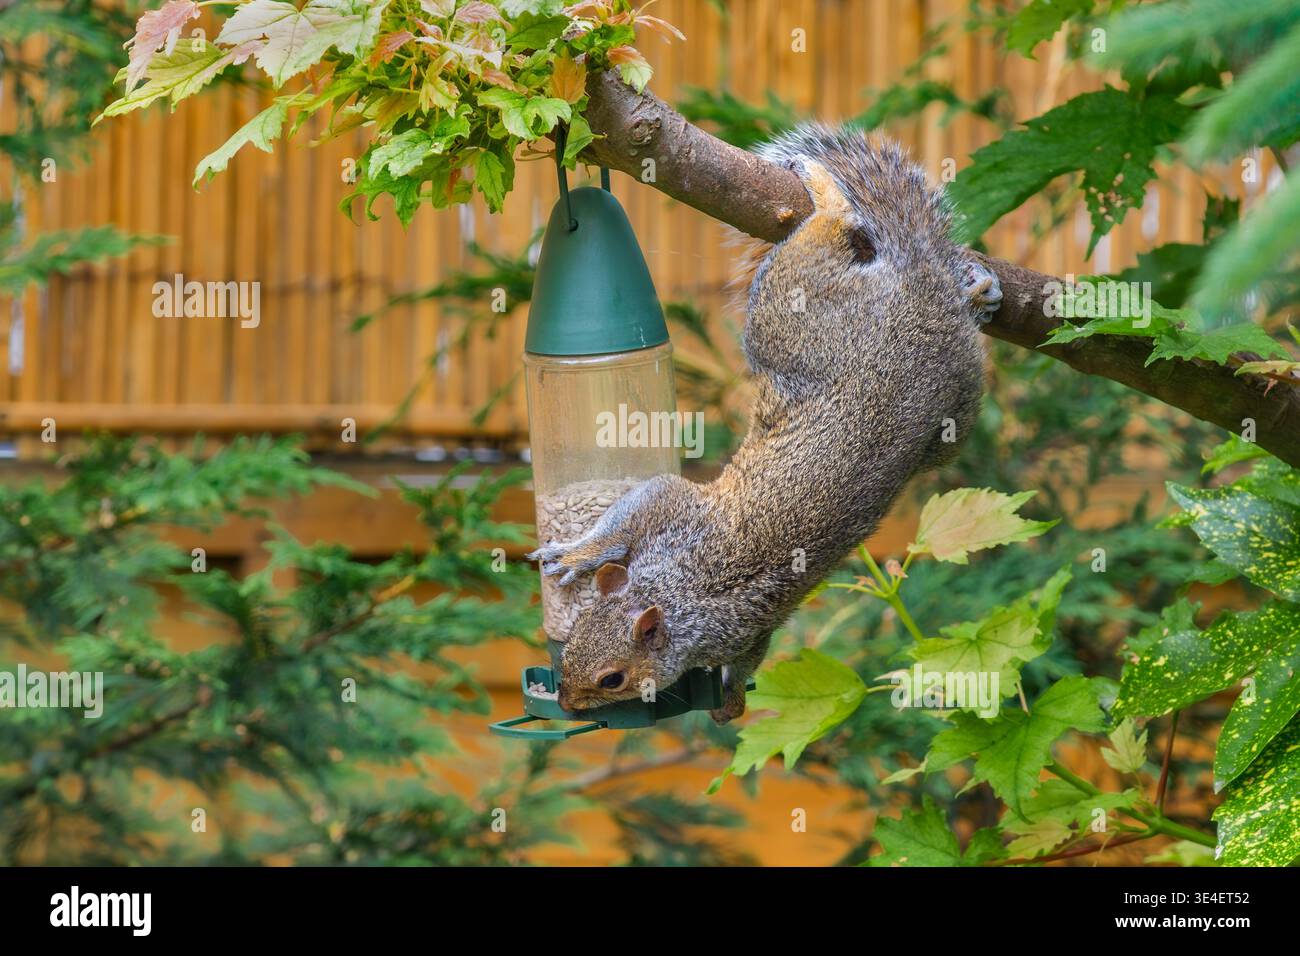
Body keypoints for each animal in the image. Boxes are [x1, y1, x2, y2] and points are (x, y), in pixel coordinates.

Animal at [527, 125, 1002, 723]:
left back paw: (829, 195)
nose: (566, 700)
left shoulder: (712, 566)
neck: (686, 593)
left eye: (613, 679)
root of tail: (924, 293)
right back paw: (971, 289)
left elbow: (657, 499)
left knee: (831, 229)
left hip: (790, 310)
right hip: (952, 409)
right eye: (576, 637)